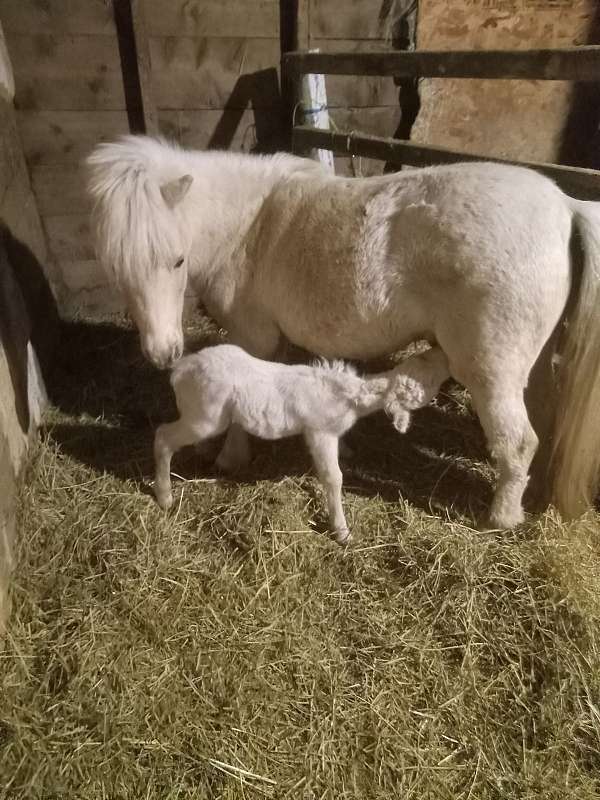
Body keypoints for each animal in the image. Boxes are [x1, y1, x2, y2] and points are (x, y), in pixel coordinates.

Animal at [152, 344, 448, 544]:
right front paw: (342, 531)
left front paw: (347, 451)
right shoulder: (319, 431)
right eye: (426, 378)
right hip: (205, 416)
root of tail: (181, 370)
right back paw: (165, 496)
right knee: (163, 436)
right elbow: (333, 477)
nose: (442, 351)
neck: (349, 396)